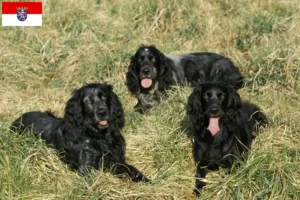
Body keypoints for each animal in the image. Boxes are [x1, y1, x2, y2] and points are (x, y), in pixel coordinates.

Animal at [10, 83, 151, 183]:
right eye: (88, 101)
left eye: (104, 96)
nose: (102, 112)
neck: (99, 136)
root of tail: (17, 119)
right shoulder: (86, 168)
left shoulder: (116, 160)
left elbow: (131, 169)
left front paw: (145, 180)